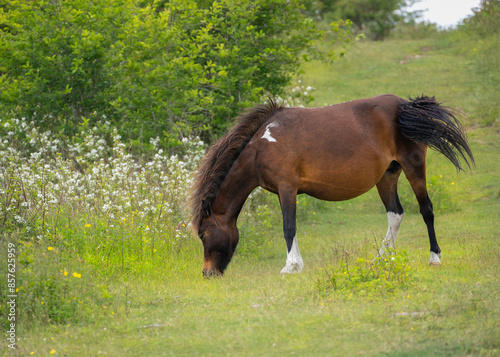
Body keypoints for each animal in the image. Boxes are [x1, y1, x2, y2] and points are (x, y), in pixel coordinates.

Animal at [189, 94, 474, 276]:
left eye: (203, 234)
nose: (206, 273)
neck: (262, 145)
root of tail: (407, 106)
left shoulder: (287, 188)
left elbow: (288, 228)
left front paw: (291, 266)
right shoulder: (285, 191)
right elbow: (292, 228)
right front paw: (297, 264)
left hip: (414, 167)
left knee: (426, 210)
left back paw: (434, 258)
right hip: (387, 176)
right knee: (395, 214)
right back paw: (381, 258)